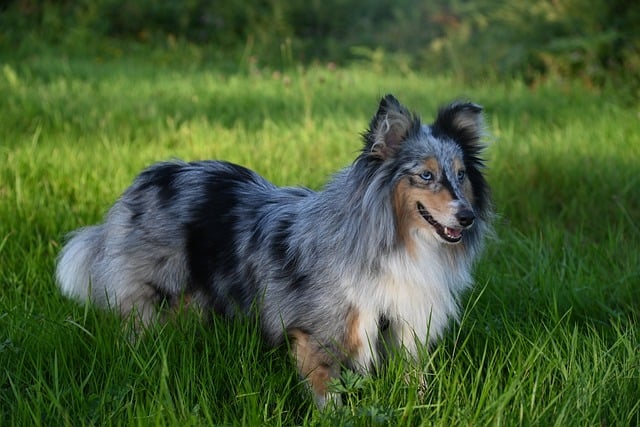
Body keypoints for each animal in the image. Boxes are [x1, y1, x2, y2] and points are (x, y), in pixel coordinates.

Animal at [56, 95, 496, 410]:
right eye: (425, 175)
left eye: (460, 175)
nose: (468, 216)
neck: (395, 239)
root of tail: (149, 176)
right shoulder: (319, 335)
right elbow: (330, 396)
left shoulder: (406, 327)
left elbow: (415, 383)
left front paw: (424, 409)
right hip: (152, 296)